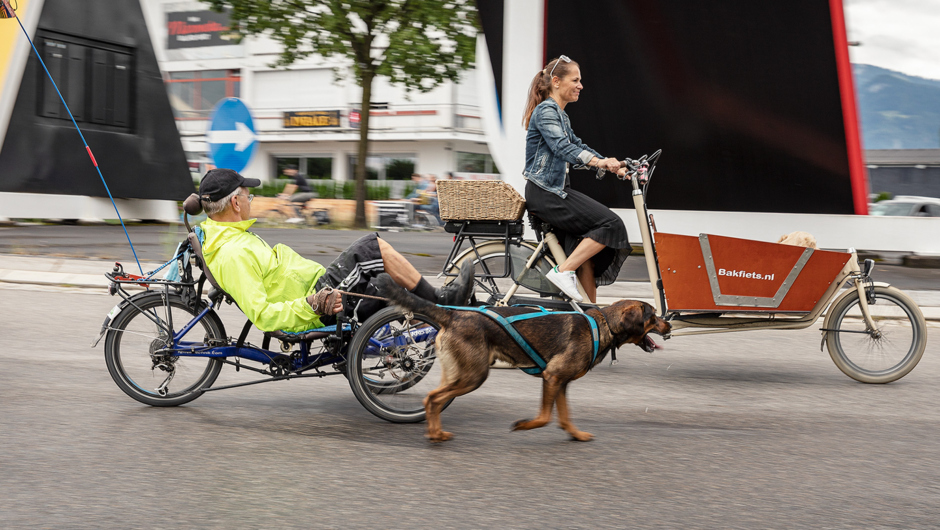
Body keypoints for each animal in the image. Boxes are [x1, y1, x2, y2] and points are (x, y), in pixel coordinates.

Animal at [374, 272, 668, 442]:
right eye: (653, 316)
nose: (669, 325)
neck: (602, 324)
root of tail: (452, 314)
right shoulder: (552, 377)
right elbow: (545, 417)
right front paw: (524, 425)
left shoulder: (561, 383)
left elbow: (564, 418)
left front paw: (576, 435)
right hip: (474, 375)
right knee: (433, 398)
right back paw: (435, 434)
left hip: (457, 373)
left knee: (432, 399)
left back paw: (434, 431)